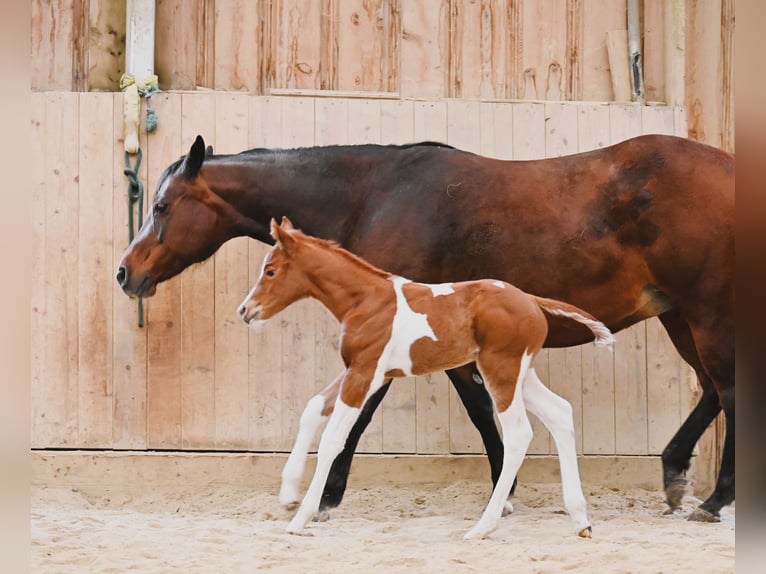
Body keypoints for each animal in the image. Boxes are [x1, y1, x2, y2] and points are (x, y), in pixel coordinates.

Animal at [238, 219, 612, 540]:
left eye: (270, 271)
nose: (245, 310)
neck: (366, 300)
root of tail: (532, 300)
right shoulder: (363, 370)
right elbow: (314, 407)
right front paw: (288, 494)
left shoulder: (365, 370)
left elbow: (333, 438)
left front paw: (301, 517)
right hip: (521, 373)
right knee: (560, 412)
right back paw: (580, 519)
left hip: (500, 370)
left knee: (520, 432)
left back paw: (483, 526)